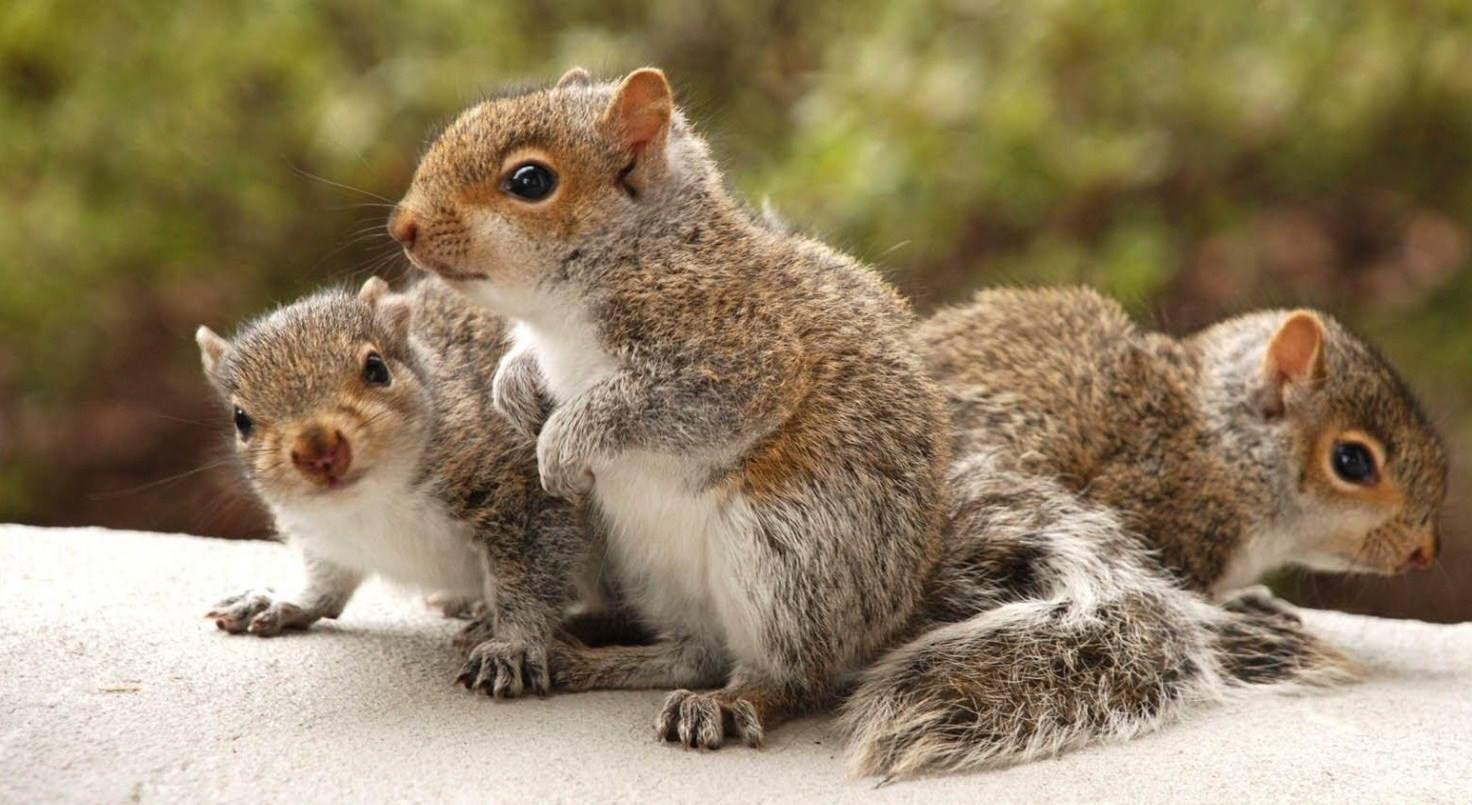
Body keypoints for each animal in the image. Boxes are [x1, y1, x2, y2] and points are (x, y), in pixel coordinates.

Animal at [196, 276, 596, 698]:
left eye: (376, 368)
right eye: (241, 419)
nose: (318, 450)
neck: (373, 500)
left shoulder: (519, 487)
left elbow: (531, 575)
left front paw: (510, 644)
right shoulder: (324, 535)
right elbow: (326, 580)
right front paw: (285, 600)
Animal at [387, 67, 951, 749]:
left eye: (530, 182)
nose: (402, 227)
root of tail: (887, 621)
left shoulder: (741, 355)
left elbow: (655, 403)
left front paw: (562, 441)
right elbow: (521, 362)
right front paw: (514, 389)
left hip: (788, 553)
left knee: (793, 676)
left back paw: (733, 701)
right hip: (646, 562)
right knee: (694, 654)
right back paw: (590, 658)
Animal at [838, 286, 1448, 777]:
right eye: (1351, 461)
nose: (1425, 552)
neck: (1224, 449)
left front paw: (1257, 600)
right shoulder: (1155, 512)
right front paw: (1242, 613)